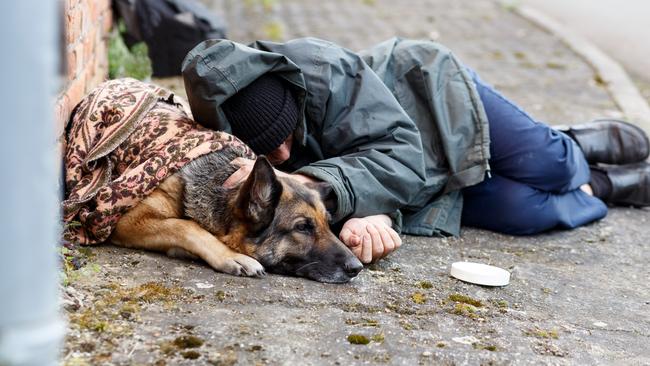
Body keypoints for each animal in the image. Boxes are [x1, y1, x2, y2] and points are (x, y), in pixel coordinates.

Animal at [111, 149, 364, 284]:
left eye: (328, 224)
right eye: (302, 227)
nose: (357, 267)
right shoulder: (127, 221)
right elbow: (185, 226)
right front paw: (231, 256)